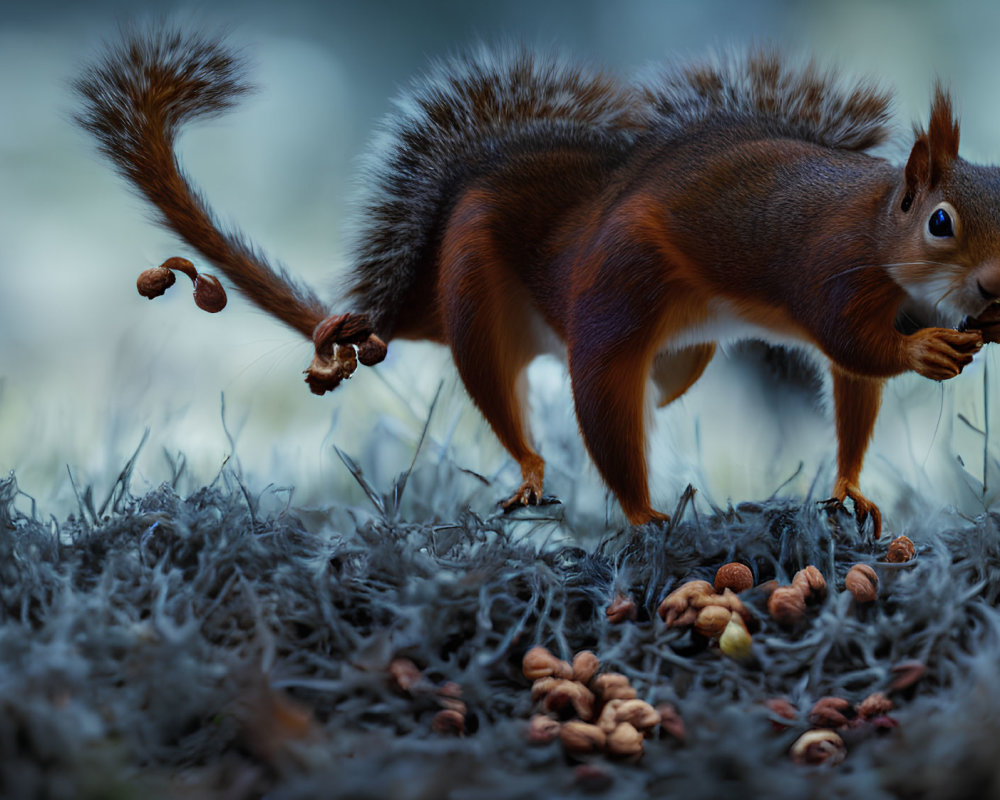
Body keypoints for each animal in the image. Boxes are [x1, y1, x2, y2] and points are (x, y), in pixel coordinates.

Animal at [74, 26, 1000, 536]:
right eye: (940, 222)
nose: (993, 291)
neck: (878, 225)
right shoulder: (828, 272)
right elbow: (856, 347)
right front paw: (929, 353)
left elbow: (852, 393)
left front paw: (850, 490)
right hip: (562, 307)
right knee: (576, 411)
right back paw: (620, 505)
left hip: (674, 346)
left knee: (653, 389)